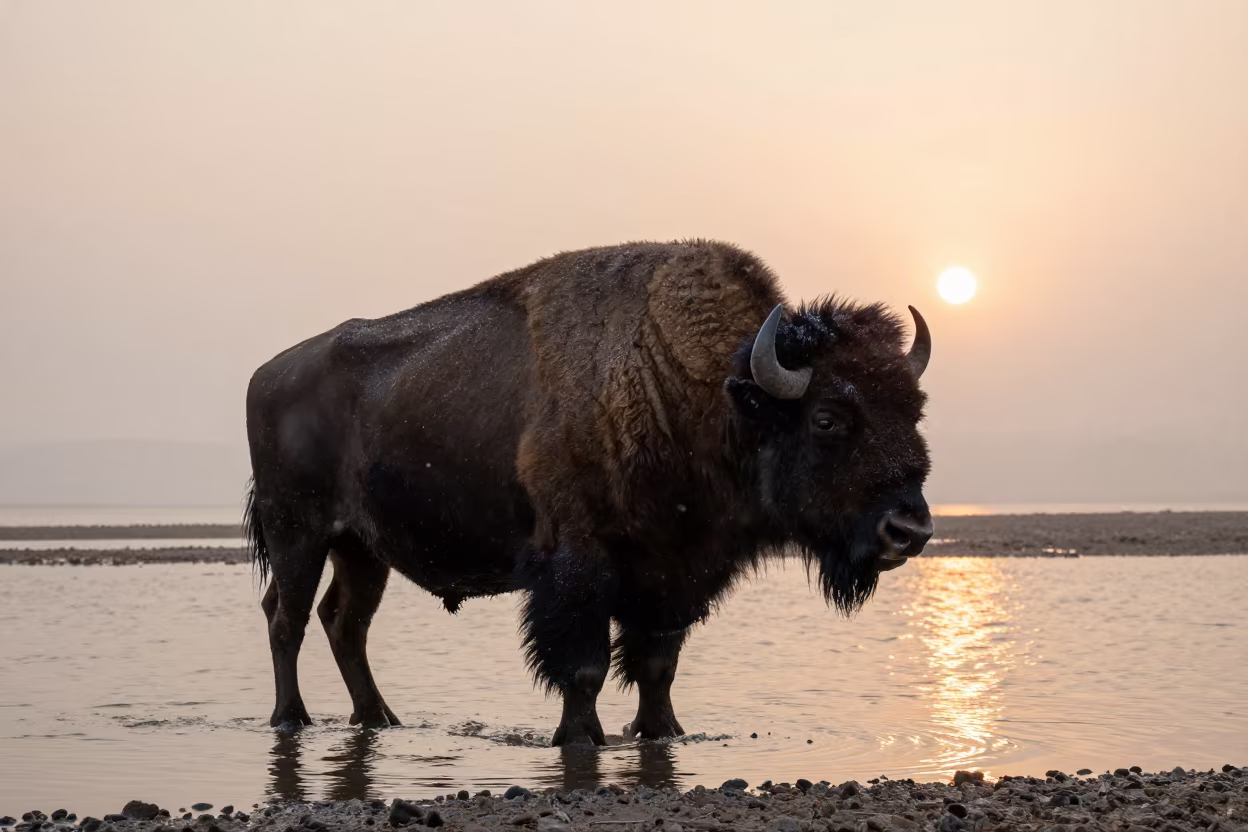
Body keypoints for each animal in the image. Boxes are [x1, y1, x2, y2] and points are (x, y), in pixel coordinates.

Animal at [244, 240, 934, 745]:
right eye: (828, 419)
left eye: (915, 410)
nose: (910, 530)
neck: (705, 394)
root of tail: (267, 374)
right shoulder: (579, 568)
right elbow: (584, 666)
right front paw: (581, 739)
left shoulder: (675, 573)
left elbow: (657, 665)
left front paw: (663, 733)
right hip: (298, 532)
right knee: (287, 617)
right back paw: (291, 718)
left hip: (362, 549)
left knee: (344, 622)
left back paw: (379, 718)